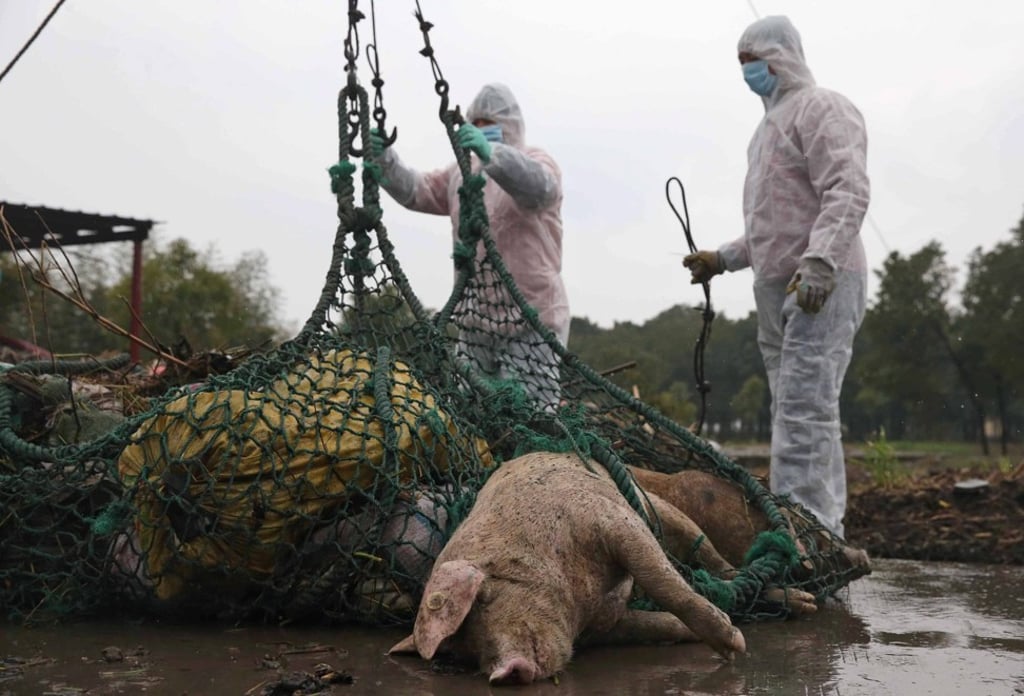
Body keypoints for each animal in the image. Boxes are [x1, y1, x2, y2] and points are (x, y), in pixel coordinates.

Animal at [388, 451, 748, 685]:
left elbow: (662, 581)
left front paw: (736, 646)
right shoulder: (607, 623)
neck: (581, 597)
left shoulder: (610, 518)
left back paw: (734, 577)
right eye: (466, 652)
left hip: (649, 501)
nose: (503, 674)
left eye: (483, 600)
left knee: (695, 539)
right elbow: (656, 625)